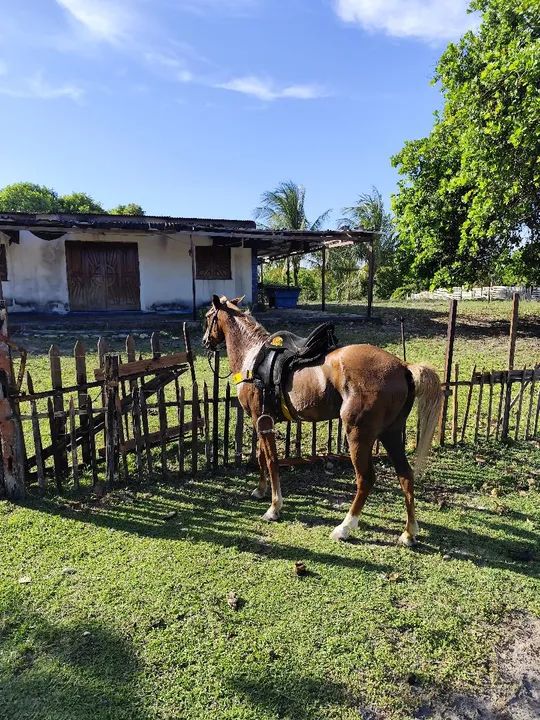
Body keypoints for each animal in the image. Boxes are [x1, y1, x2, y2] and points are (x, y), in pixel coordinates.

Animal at [203, 294, 442, 546]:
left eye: (208, 317)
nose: (205, 341)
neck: (253, 357)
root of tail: (403, 367)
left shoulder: (263, 421)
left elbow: (272, 461)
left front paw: (274, 508)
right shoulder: (262, 421)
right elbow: (261, 458)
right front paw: (260, 491)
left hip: (358, 434)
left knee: (366, 479)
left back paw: (344, 527)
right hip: (391, 433)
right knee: (405, 475)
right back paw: (409, 532)